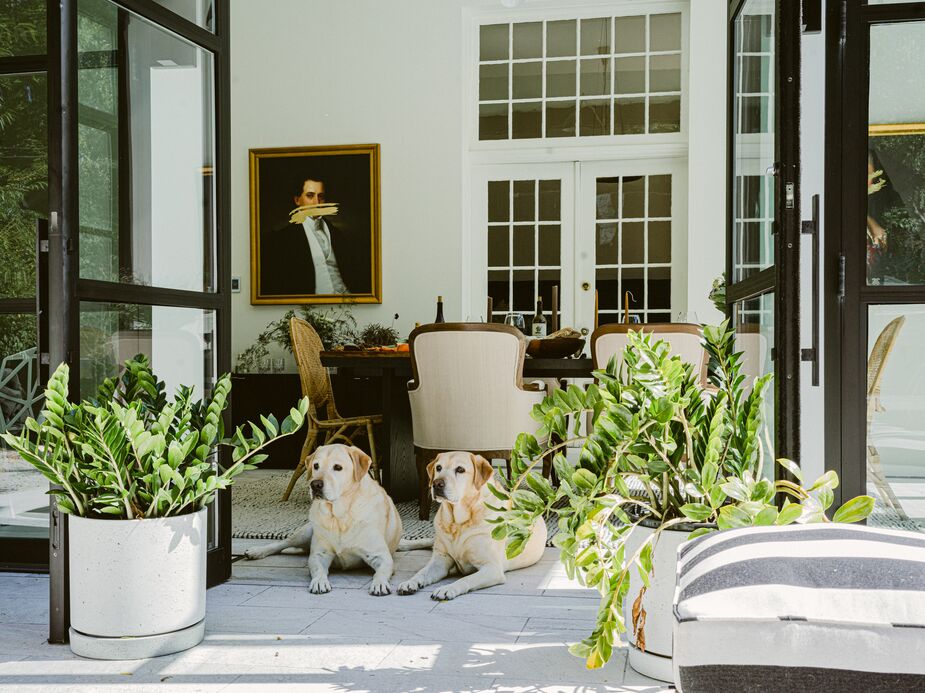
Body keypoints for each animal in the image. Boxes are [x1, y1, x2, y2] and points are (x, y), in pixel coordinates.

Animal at [242, 444, 430, 596]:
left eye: (338, 467)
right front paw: (319, 581)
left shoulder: (381, 556)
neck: (340, 516)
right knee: (283, 543)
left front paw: (379, 584)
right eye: (316, 466)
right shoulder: (319, 554)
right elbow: (318, 569)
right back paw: (257, 551)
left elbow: (381, 572)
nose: (315, 484)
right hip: (307, 531)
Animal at [396, 452, 544, 596]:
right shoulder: (440, 560)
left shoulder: (492, 568)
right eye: (438, 468)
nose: (436, 484)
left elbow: (466, 579)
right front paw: (410, 582)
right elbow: (422, 572)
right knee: (428, 541)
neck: (458, 522)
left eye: (460, 469)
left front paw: (447, 589)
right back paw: (402, 544)